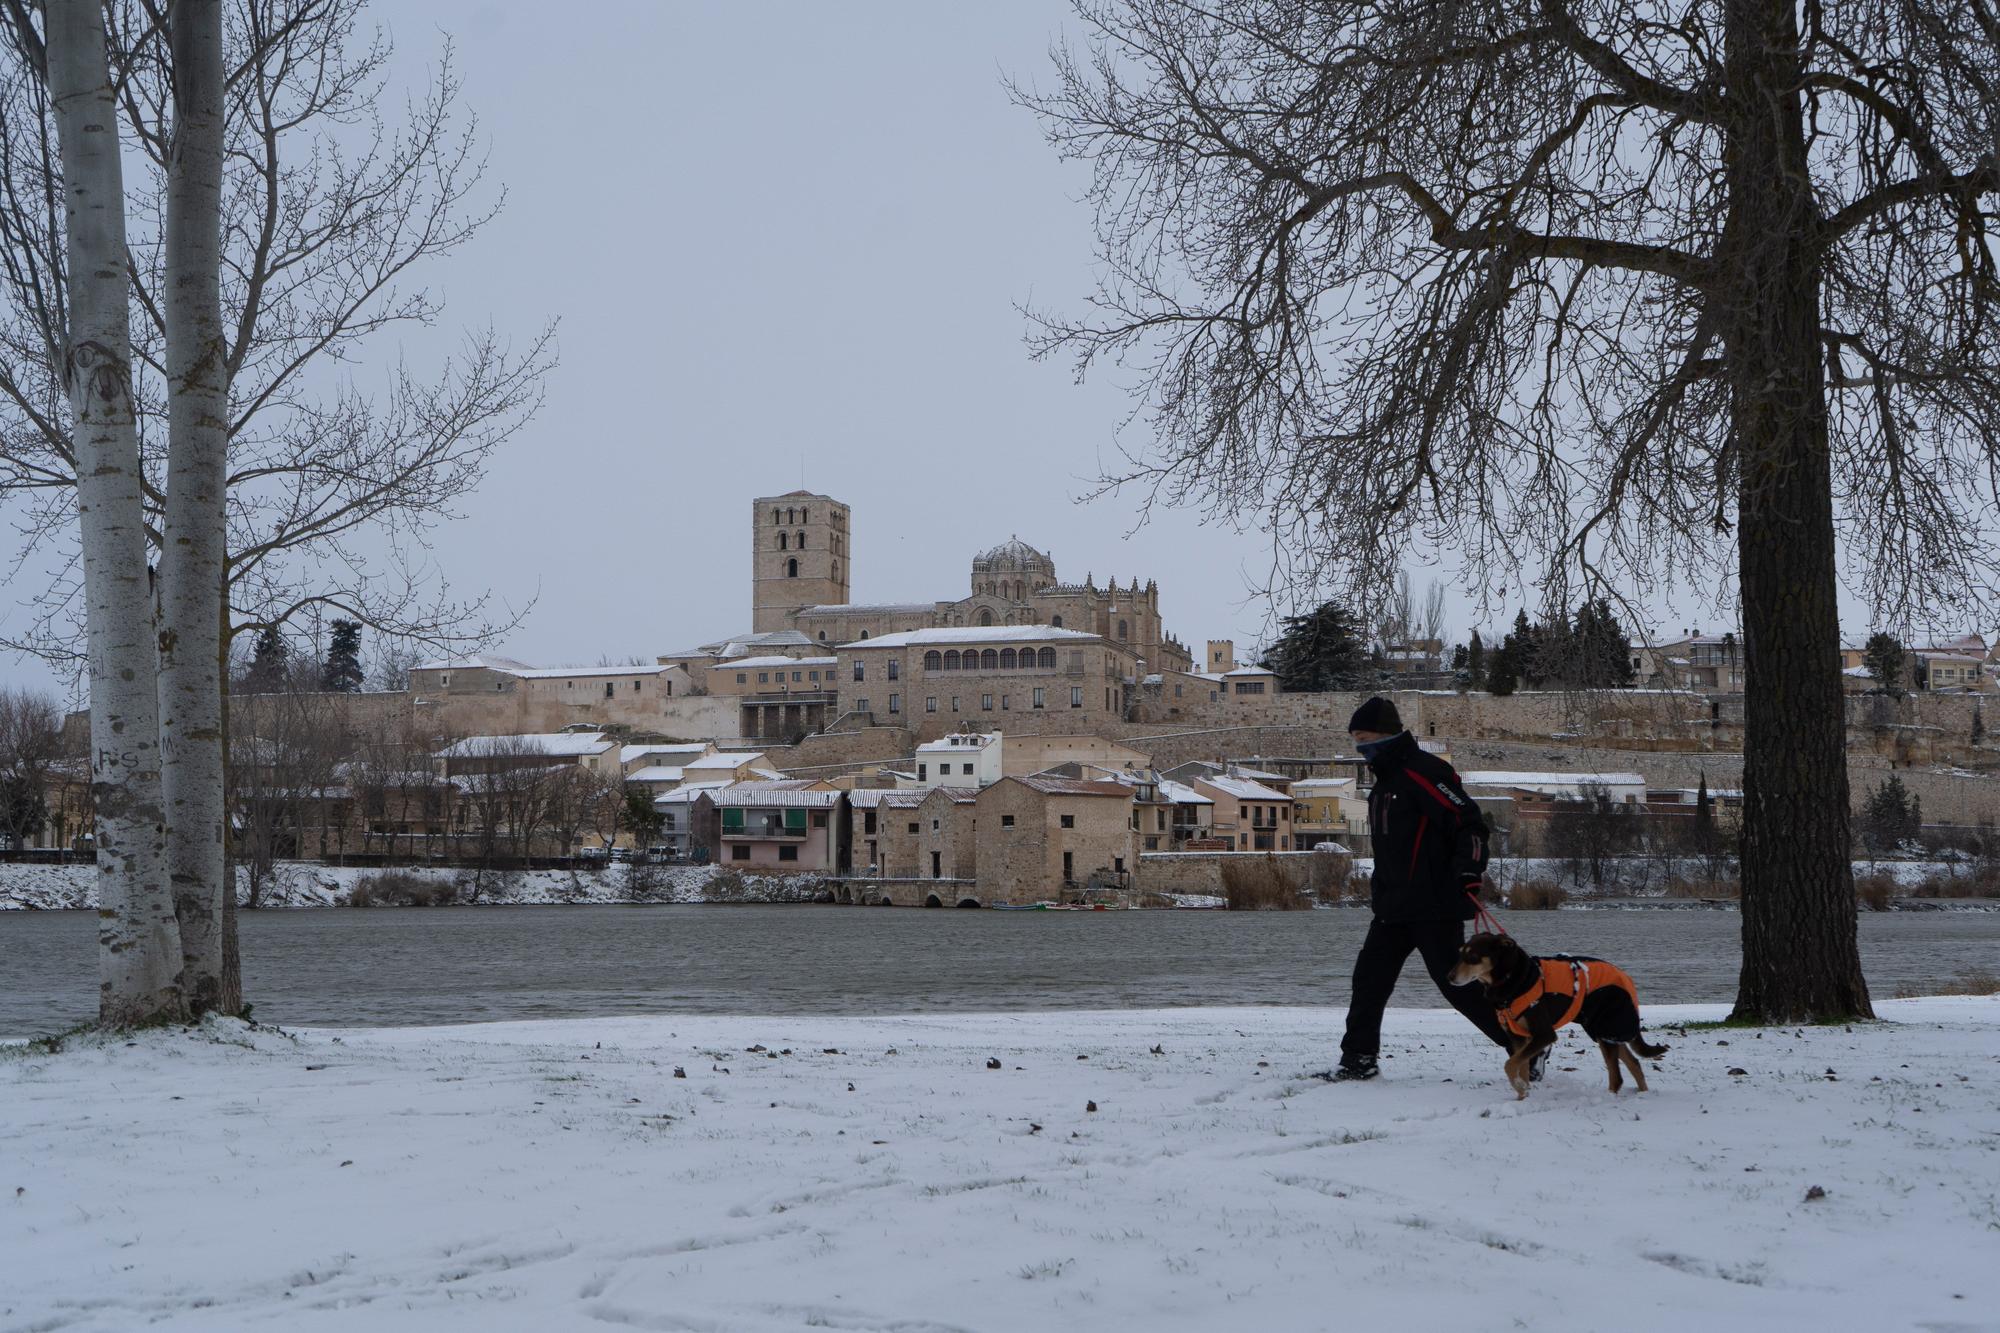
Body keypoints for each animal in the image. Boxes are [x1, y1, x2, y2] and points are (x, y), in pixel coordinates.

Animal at [1456, 928, 1672, 1096]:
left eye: (1473, 957)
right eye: (1460, 953)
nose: (1450, 977)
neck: (1515, 980)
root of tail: (1627, 981)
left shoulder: (1543, 1034)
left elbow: (1509, 1065)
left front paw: (1519, 1088)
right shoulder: (1519, 1038)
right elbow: (1520, 1069)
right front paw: (1522, 1096)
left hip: (1608, 1027)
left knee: (1617, 1077)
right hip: (1605, 1030)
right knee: (1634, 1062)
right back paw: (1643, 1094)